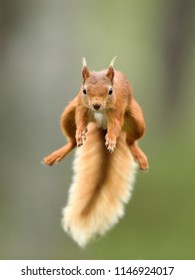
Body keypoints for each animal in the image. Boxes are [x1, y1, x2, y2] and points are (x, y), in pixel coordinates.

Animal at [42, 57, 149, 247]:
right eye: (84, 90)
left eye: (110, 91)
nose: (97, 105)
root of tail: (100, 125)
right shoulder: (80, 105)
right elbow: (80, 118)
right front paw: (80, 131)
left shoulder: (117, 109)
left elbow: (116, 126)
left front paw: (112, 139)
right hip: (67, 114)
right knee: (71, 141)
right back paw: (59, 152)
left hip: (137, 120)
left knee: (130, 140)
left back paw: (138, 155)